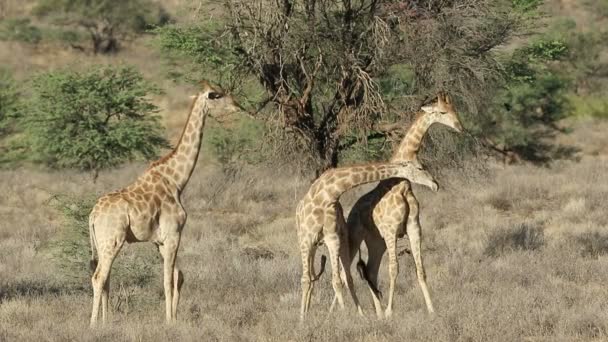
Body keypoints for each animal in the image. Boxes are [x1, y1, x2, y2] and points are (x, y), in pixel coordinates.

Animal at [88, 80, 245, 326]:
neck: (177, 180)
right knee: (98, 277)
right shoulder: (173, 234)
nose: (238, 106)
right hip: (112, 240)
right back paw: (94, 324)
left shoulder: (159, 241)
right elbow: (168, 280)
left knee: (106, 278)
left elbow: (178, 276)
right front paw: (170, 321)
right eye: (216, 95)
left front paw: (175, 318)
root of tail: (93, 215)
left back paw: (106, 321)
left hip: (104, 243)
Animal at [296, 161, 436, 320]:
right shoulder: (306, 239)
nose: (435, 184)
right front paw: (302, 319)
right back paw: (305, 315)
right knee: (310, 278)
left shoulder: (333, 237)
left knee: (343, 276)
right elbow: (306, 280)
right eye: (420, 168)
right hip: (310, 242)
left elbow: (336, 280)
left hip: (344, 241)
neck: (328, 194)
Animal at [344, 91, 464, 318]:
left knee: (369, 270)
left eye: (455, 109)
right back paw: (359, 312)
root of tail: (350, 214)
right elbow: (394, 269)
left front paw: (432, 310)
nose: (460, 127)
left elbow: (420, 269)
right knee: (347, 270)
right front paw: (391, 312)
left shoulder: (413, 227)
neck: (402, 184)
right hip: (356, 240)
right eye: (442, 112)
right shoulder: (392, 230)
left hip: (376, 242)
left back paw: (377, 313)